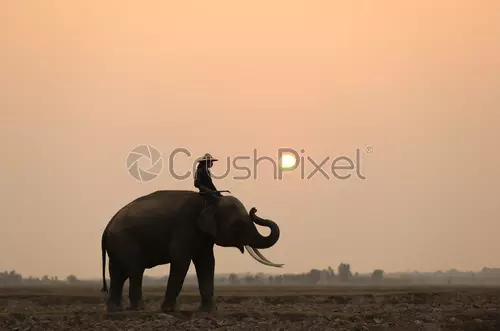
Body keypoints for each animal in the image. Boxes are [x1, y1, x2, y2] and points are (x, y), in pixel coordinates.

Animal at [99, 191, 284, 312]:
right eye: (237, 225)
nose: (254, 210)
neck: (210, 202)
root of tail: (107, 226)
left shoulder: (203, 235)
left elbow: (206, 262)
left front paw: (209, 310)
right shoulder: (185, 225)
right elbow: (181, 260)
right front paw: (168, 310)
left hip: (117, 244)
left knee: (118, 273)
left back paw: (115, 309)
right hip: (125, 240)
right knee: (135, 270)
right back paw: (137, 309)